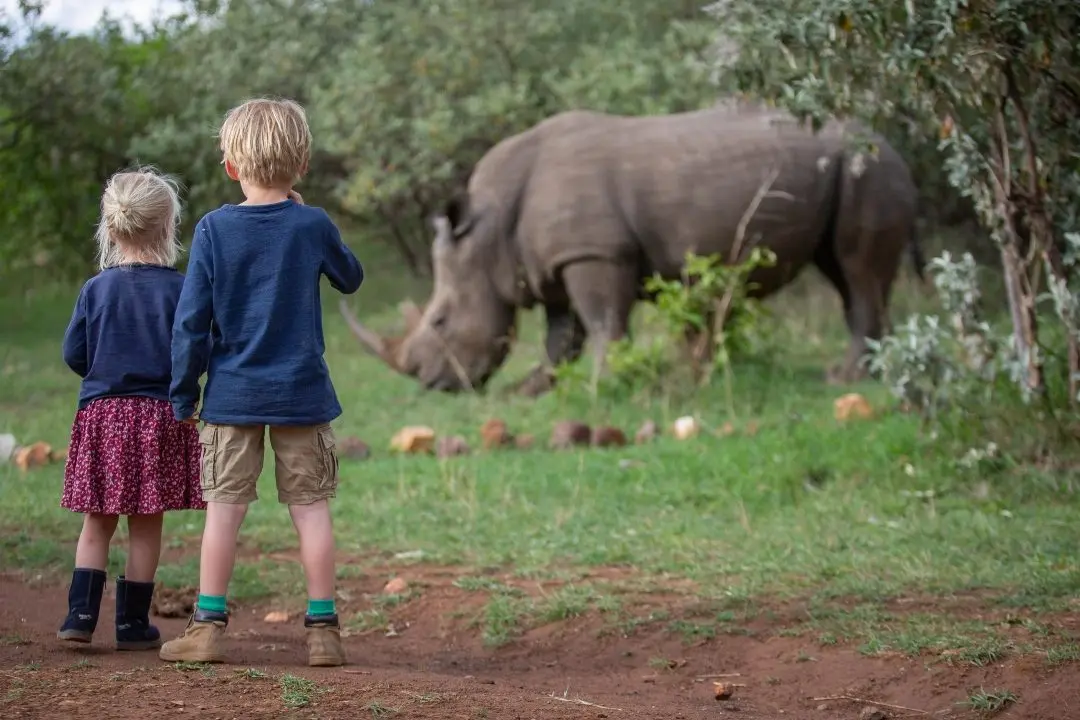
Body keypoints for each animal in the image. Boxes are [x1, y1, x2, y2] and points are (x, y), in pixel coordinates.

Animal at [341, 105, 923, 395]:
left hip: (867, 169)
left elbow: (602, 324)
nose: (431, 384)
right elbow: (562, 337)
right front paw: (530, 391)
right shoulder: (551, 262)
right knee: (845, 274)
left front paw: (603, 387)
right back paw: (870, 374)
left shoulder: (595, 253)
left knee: (856, 272)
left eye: (440, 320)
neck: (487, 232)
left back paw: (847, 380)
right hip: (856, 171)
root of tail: (894, 145)